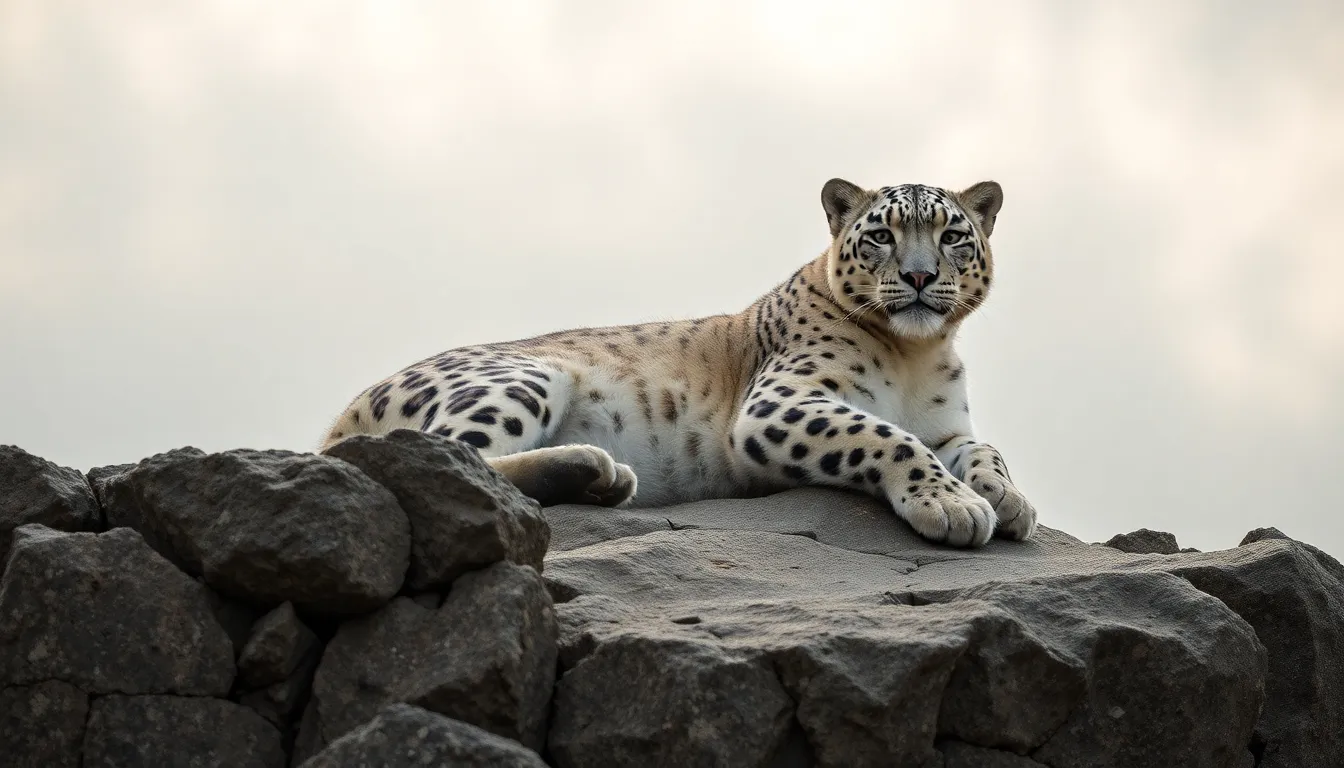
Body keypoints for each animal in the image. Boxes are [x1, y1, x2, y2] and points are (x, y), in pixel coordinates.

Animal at [319, 177, 1037, 547]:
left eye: (952, 235)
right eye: (882, 235)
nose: (919, 277)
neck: (917, 351)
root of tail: (341, 417)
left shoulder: (949, 427)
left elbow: (985, 448)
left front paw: (1009, 498)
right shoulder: (784, 400)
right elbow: (886, 436)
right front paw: (954, 506)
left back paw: (602, 480)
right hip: (519, 378)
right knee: (439, 457)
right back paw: (597, 467)